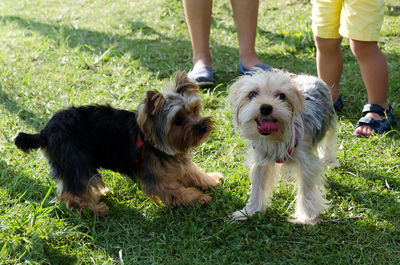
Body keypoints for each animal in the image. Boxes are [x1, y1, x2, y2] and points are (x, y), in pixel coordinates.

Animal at [228, 69, 340, 223]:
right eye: (252, 94)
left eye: (282, 96)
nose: (266, 107)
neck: (276, 137)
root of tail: (309, 76)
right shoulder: (261, 162)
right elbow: (257, 187)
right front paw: (249, 211)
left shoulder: (307, 163)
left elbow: (306, 191)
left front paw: (306, 216)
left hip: (330, 123)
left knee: (329, 142)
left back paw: (330, 161)